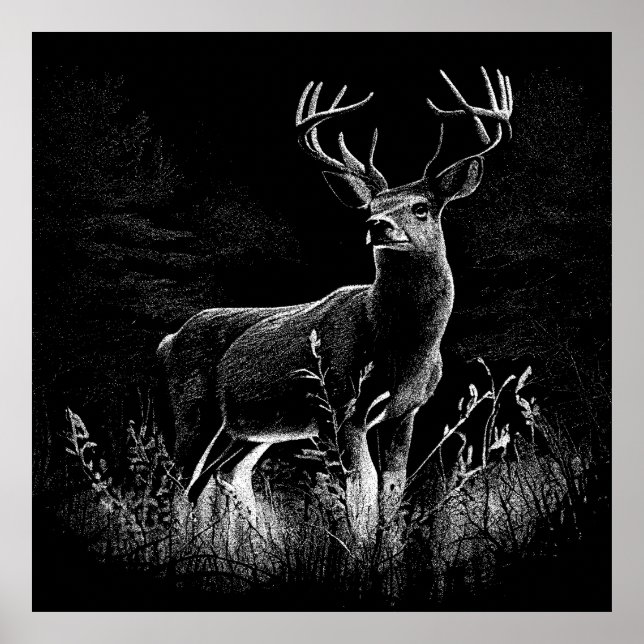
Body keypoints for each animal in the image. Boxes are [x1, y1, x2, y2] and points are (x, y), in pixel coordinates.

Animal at [156, 67, 513, 543]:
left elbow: (391, 488)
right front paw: (357, 552)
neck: (400, 347)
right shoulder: (340, 404)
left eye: (421, 207)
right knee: (180, 483)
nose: (377, 225)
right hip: (193, 409)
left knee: (222, 478)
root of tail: (168, 340)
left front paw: (386, 552)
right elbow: (361, 488)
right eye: (372, 206)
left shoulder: (406, 411)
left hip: (248, 431)